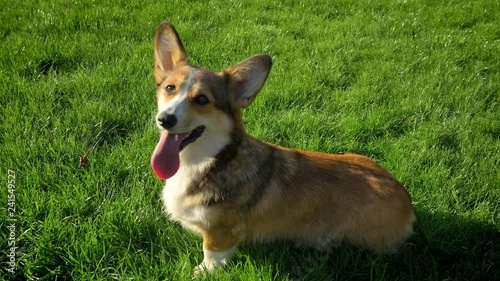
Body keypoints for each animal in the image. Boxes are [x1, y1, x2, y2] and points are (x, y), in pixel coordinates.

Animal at [150, 22, 416, 274]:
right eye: (170, 88)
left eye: (202, 99)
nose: (165, 119)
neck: (209, 160)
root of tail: (408, 205)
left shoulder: (222, 230)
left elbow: (212, 253)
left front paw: (202, 271)